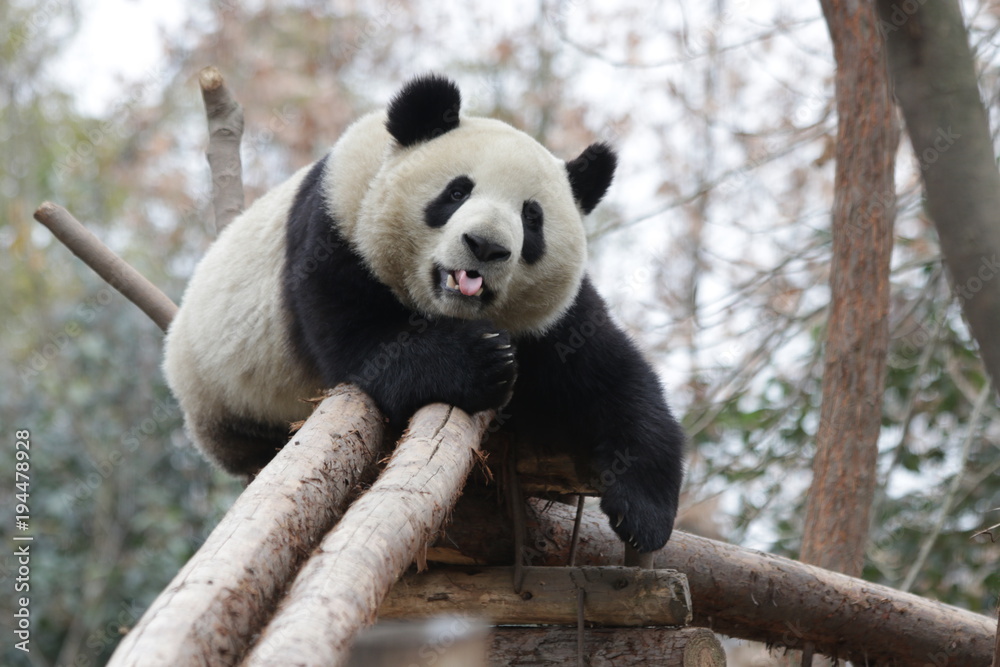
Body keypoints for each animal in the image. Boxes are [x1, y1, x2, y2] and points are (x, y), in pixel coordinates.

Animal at [163, 74, 684, 553]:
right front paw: (481, 360)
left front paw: (644, 515)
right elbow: (365, 344)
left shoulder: (552, 320)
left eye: (532, 217)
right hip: (231, 393)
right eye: (456, 192)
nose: (485, 246)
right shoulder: (335, 233)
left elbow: (612, 377)